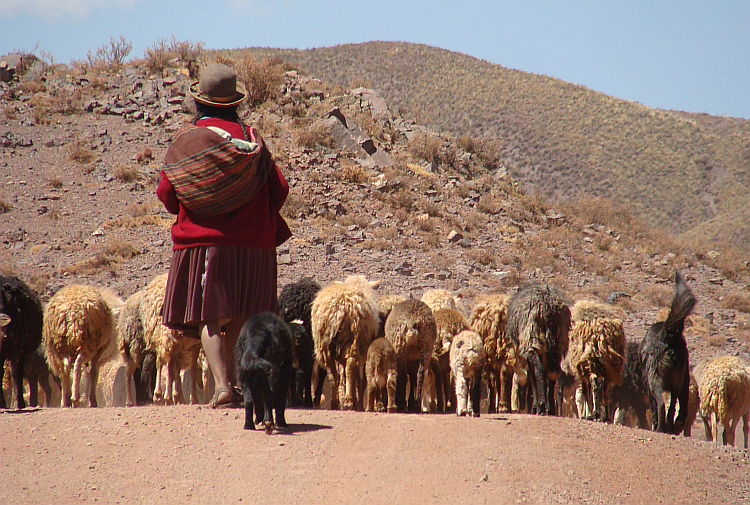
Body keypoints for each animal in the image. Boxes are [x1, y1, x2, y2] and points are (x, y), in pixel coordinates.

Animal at [312, 276, 382, 410]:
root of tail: (338, 310)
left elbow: (342, 373)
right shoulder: (362, 350)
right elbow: (358, 377)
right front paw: (356, 400)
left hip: (325, 346)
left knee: (333, 374)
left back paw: (335, 402)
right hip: (353, 340)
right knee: (350, 367)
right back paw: (349, 401)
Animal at [640, 272, 700, 434]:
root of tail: (667, 334)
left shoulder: (649, 387)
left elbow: (654, 408)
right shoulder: (683, 380)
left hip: (655, 380)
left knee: (661, 404)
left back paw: (661, 427)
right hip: (678, 381)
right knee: (673, 406)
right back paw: (671, 426)